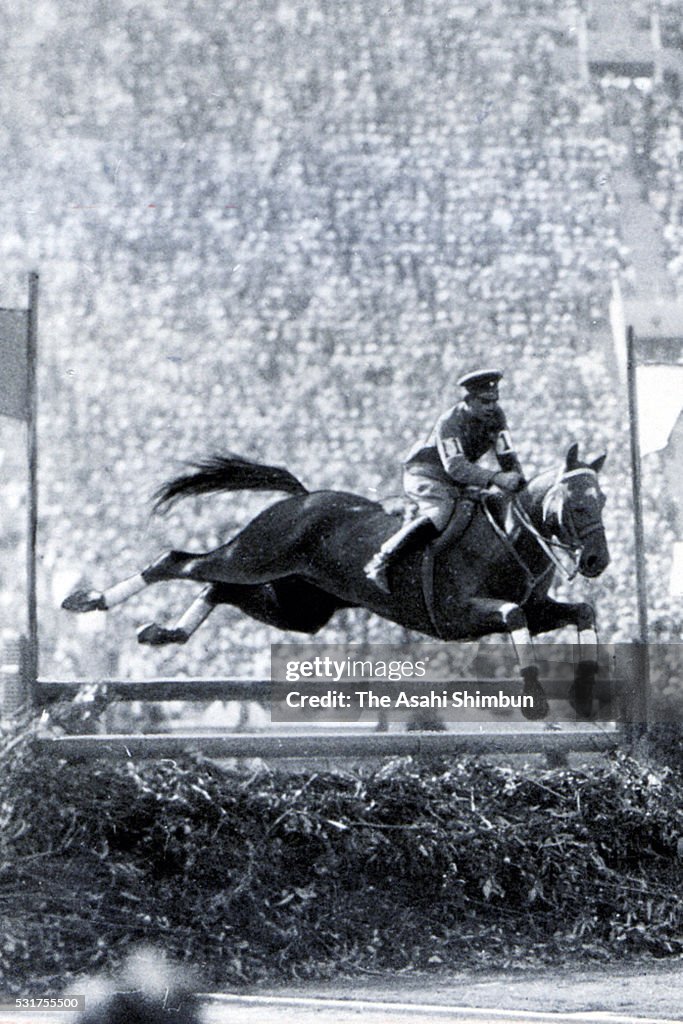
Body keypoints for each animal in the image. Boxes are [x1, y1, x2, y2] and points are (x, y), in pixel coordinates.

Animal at [63, 442, 610, 720]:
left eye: (603, 500)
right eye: (579, 503)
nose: (597, 561)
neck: (509, 536)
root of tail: (302, 498)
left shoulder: (539, 610)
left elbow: (580, 612)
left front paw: (587, 694)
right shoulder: (463, 615)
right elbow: (513, 615)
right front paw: (537, 698)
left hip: (300, 608)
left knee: (219, 589)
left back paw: (166, 632)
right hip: (254, 555)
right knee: (179, 562)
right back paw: (90, 602)